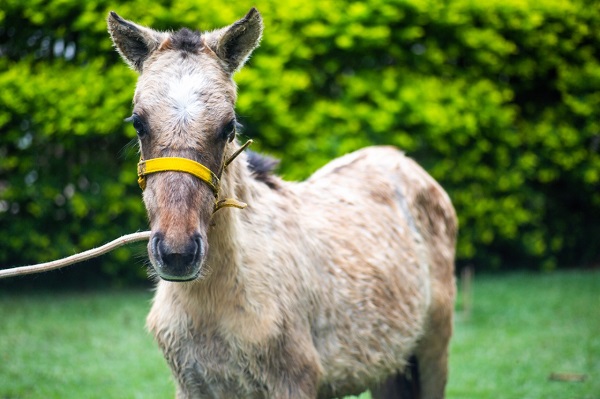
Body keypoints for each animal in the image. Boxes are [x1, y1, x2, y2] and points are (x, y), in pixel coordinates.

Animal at [108, 7, 458, 399]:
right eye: (138, 123)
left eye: (229, 127)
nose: (178, 253)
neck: (213, 300)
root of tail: (402, 160)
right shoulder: (192, 386)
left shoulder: (294, 381)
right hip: (389, 365)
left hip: (433, 352)